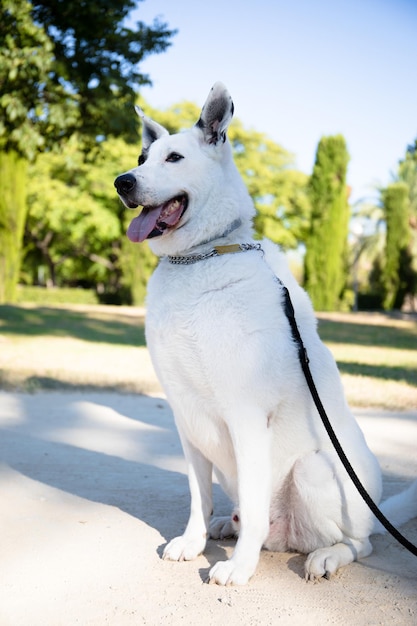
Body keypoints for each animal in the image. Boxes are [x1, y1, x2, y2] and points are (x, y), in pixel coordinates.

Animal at [114, 84, 416, 584]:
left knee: (361, 542)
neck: (199, 258)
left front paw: (239, 568)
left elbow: (253, 508)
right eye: (142, 157)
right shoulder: (185, 419)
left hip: (315, 472)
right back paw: (225, 526)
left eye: (174, 158)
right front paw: (194, 541)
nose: (122, 182)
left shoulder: (246, 416)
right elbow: (198, 498)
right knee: (240, 514)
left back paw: (325, 556)